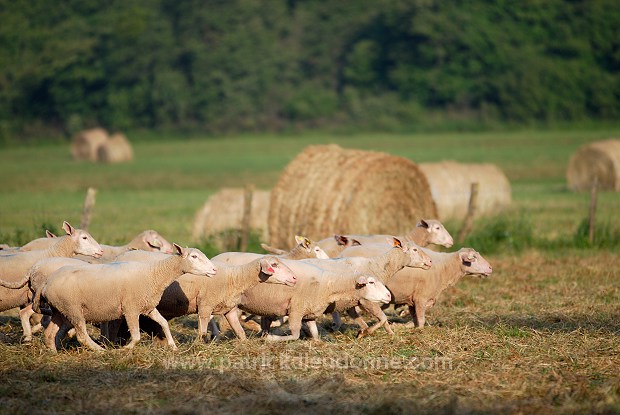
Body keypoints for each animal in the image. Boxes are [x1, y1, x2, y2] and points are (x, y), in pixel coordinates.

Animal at [35, 245, 218, 352]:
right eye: (194, 257)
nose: (214, 270)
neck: (154, 274)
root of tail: (46, 283)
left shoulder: (147, 307)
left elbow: (164, 323)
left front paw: (173, 346)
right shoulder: (131, 309)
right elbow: (136, 336)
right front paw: (125, 350)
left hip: (60, 310)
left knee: (50, 333)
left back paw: (53, 352)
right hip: (73, 310)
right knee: (82, 336)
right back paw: (101, 351)